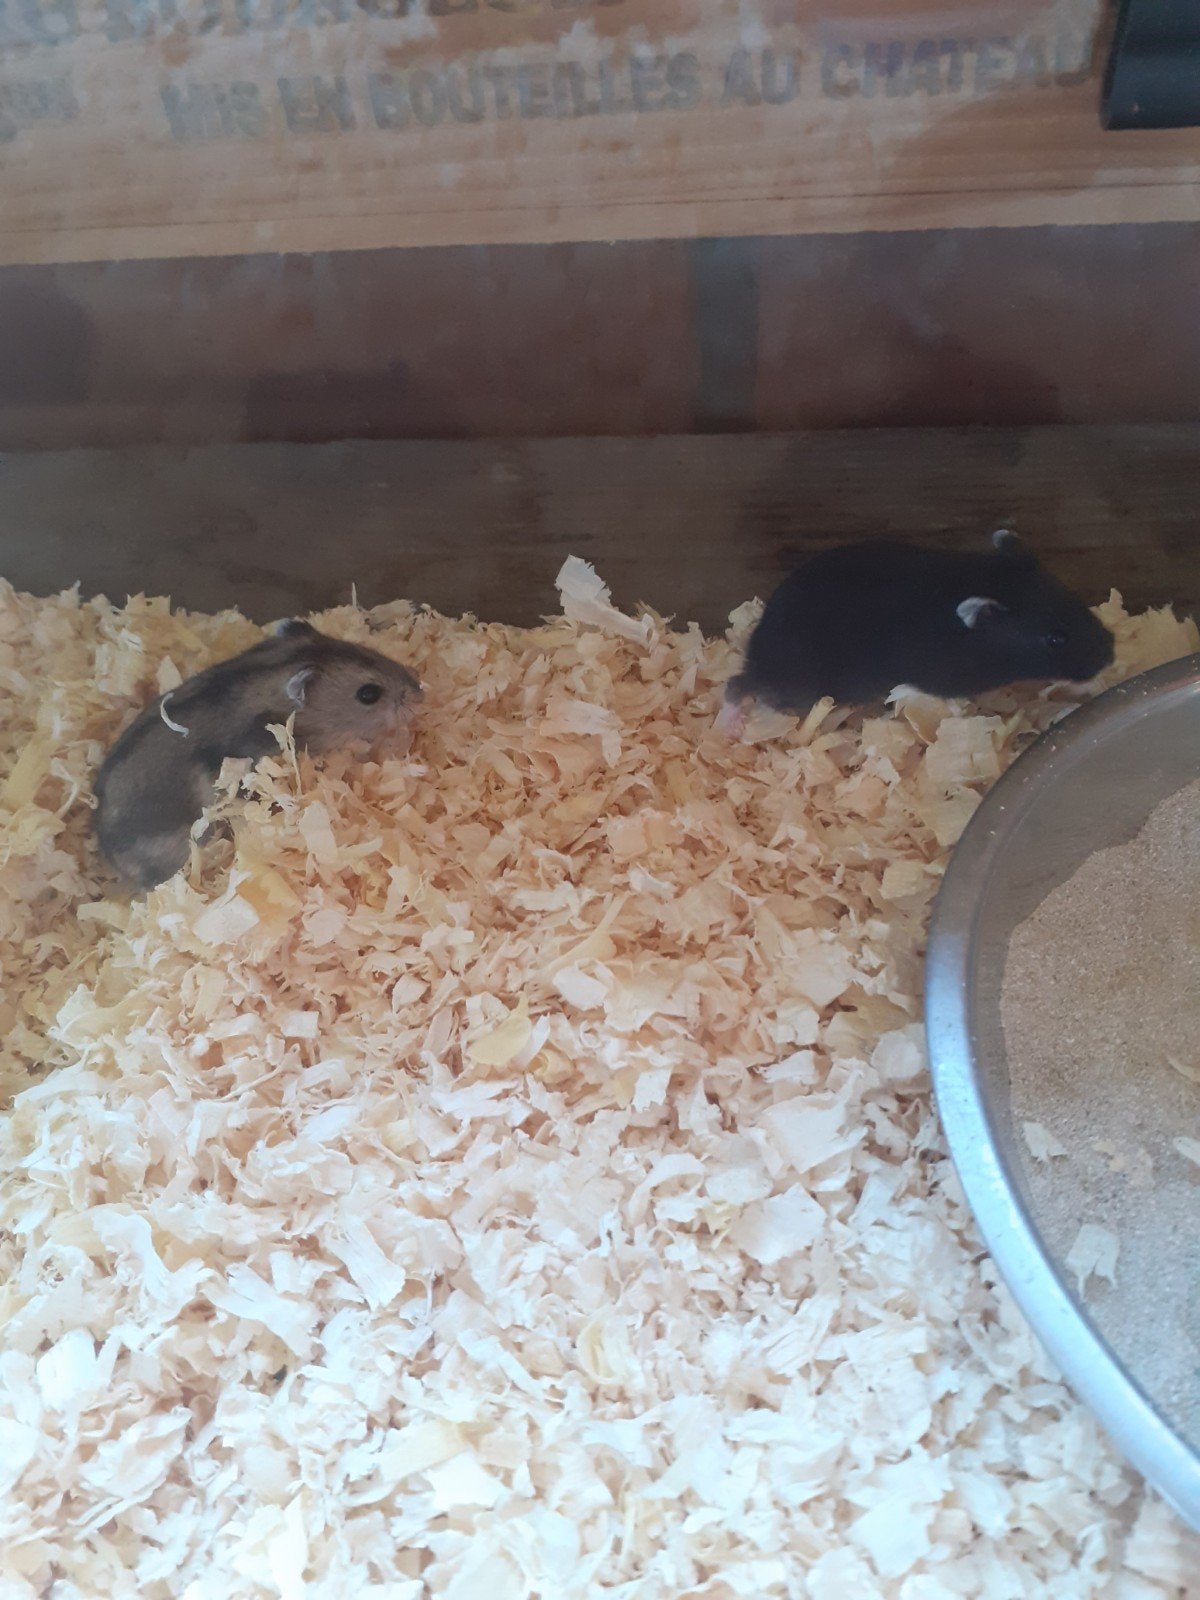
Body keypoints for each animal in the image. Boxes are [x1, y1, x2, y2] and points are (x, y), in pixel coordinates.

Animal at [722, 530, 1115, 734]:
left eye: (1077, 600)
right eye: (1055, 639)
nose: (1112, 654)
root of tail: (757, 649)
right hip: (800, 685)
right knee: (737, 684)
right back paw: (731, 726)